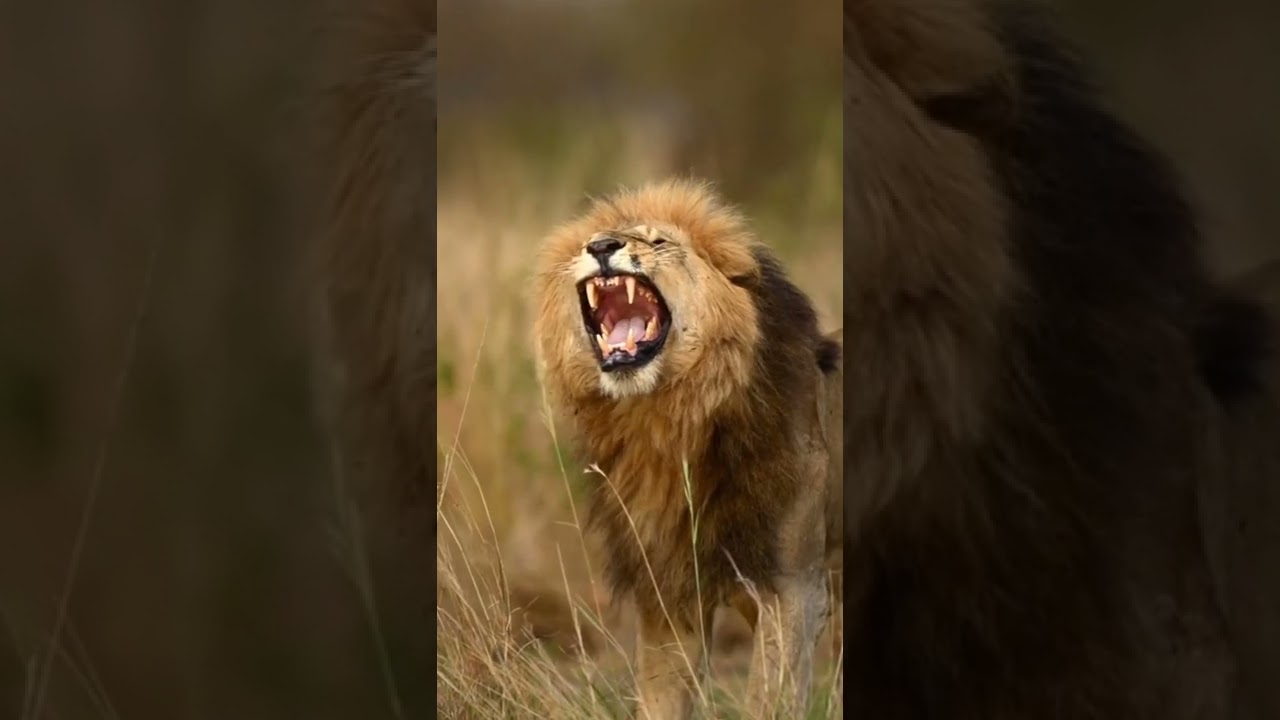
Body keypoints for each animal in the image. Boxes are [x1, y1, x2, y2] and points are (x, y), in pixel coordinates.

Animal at [532, 178, 842, 718]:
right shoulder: (669, 596)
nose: (601, 247)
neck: (666, 425)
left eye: (659, 242)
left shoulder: (794, 591)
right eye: (588, 243)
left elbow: (769, 702)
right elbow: (660, 701)